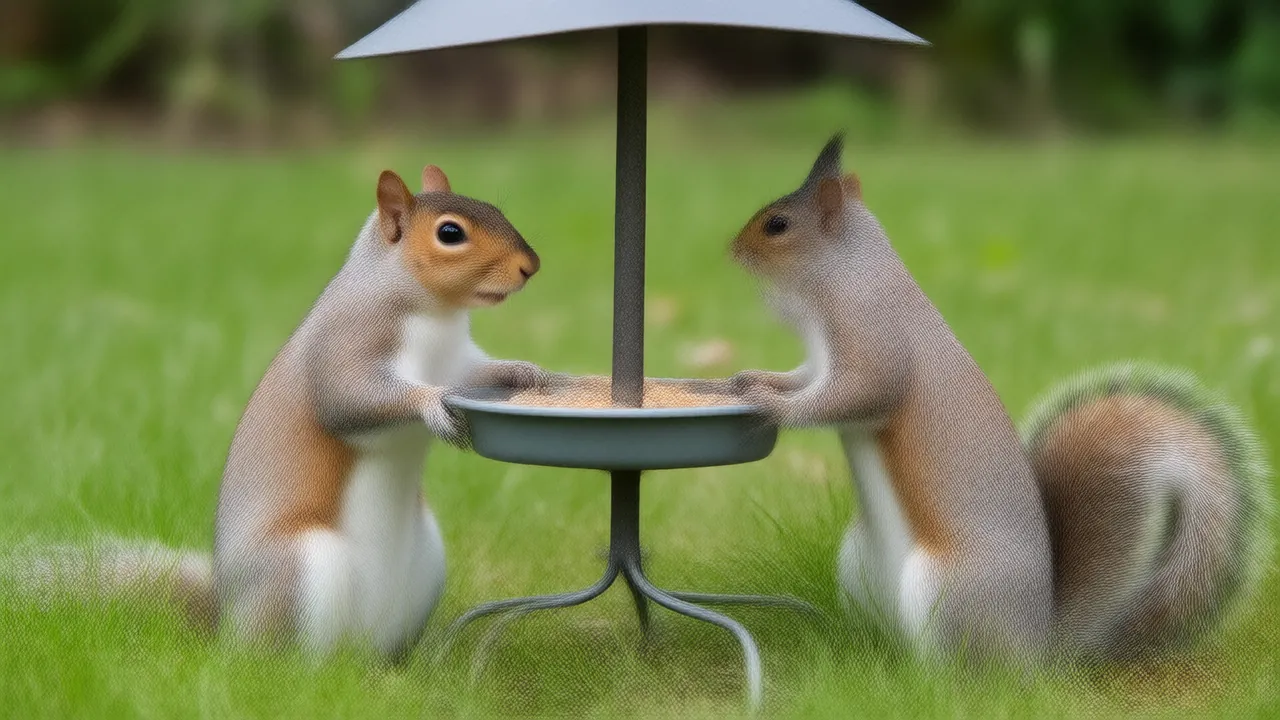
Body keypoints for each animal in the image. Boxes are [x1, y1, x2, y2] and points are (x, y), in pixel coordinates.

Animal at [5, 164, 555, 663]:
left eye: (496, 209)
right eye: (450, 233)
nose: (530, 265)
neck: (433, 314)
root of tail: (227, 620)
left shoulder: (461, 360)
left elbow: (484, 369)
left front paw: (530, 373)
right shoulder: (345, 345)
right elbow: (350, 399)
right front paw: (433, 404)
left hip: (425, 567)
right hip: (300, 570)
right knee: (280, 664)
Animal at [723, 134, 1273, 667]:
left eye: (777, 225)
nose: (732, 249)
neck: (846, 274)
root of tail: (1037, 647)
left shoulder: (873, 344)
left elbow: (854, 396)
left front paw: (772, 406)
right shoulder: (818, 364)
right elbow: (800, 379)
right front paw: (751, 379)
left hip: (947, 592)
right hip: (858, 565)